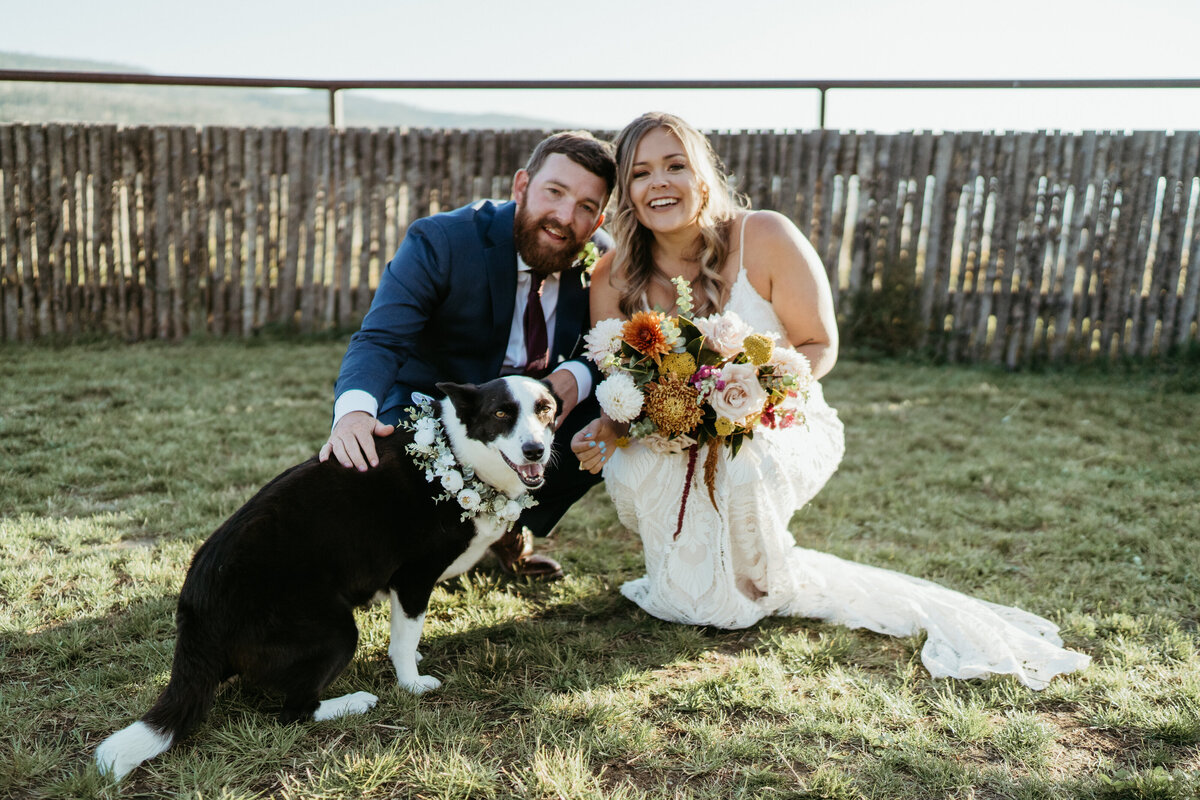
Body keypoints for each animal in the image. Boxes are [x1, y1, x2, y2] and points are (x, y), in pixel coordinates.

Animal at [97, 376, 556, 782]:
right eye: (501, 413)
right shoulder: (413, 579)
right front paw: (411, 683)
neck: (459, 457)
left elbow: (405, 635)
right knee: (294, 712)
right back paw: (353, 703)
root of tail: (196, 612)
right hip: (337, 632)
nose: (535, 450)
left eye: (546, 410)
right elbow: (404, 641)